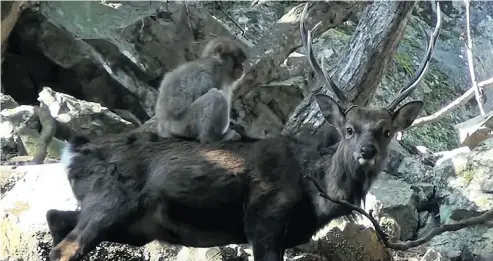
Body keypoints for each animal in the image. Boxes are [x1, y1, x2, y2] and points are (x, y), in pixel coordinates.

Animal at [46, 2, 442, 260]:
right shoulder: (263, 220)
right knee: (65, 249)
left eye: (386, 131)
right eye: (348, 128)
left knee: (54, 219)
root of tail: (71, 154)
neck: (315, 192)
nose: (366, 152)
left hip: (131, 223)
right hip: (110, 199)